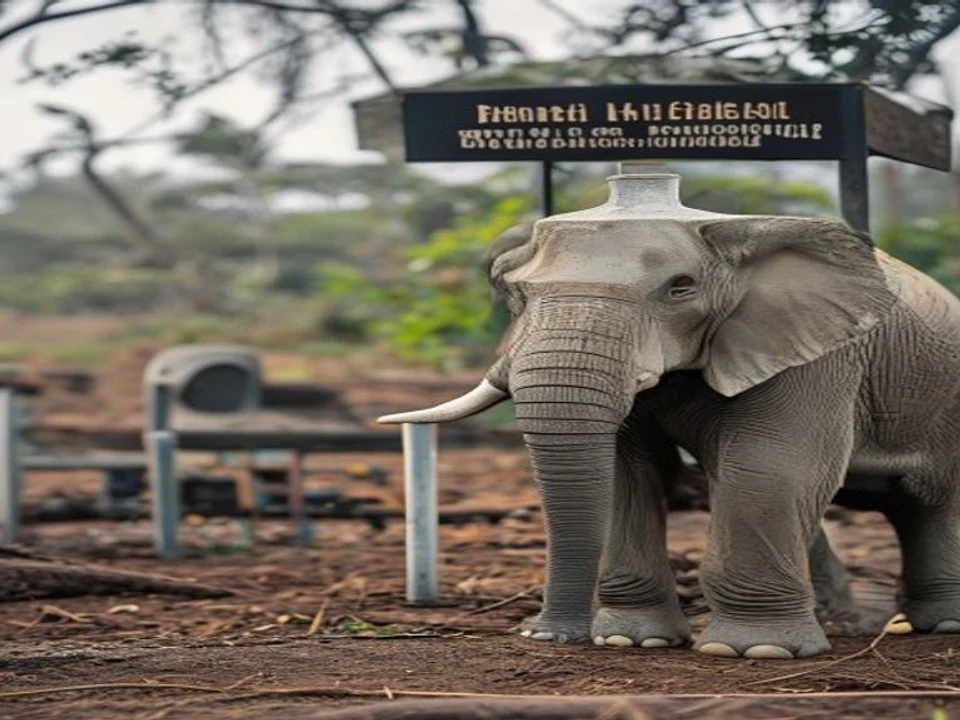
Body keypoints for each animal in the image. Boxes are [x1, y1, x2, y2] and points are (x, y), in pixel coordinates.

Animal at [379, 203, 960, 660]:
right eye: (511, 292)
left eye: (681, 289)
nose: (547, 635)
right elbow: (628, 469)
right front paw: (632, 642)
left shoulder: (817, 352)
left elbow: (773, 465)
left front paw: (753, 651)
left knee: (935, 501)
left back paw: (942, 626)